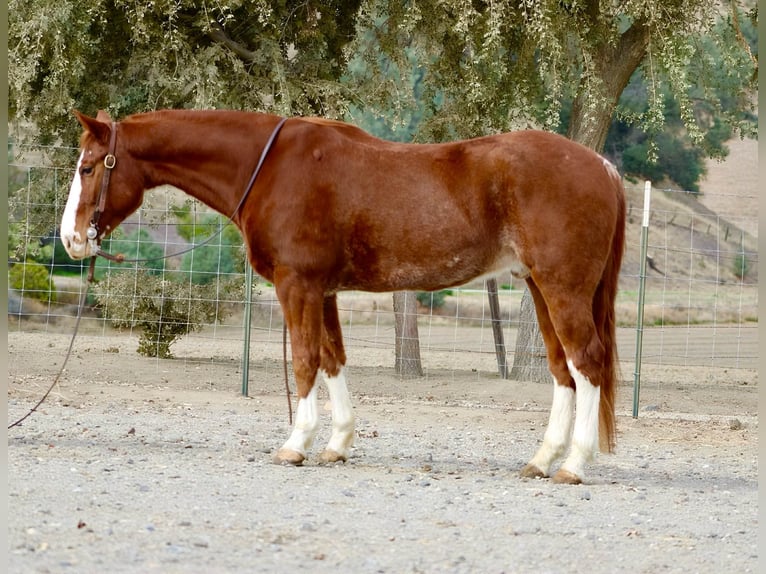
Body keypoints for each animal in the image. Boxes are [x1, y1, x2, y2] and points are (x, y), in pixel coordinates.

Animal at [60, 109, 626, 484]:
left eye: (89, 167)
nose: (71, 239)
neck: (269, 166)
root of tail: (601, 165)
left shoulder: (297, 285)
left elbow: (304, 360)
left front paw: (295, 445)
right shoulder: (324, 291)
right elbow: (332, 359)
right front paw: (336, 445)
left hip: (562, 288)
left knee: (587, 362)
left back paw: (574, 466)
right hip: (539, 287)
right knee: (562, 369)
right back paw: (542, 460)